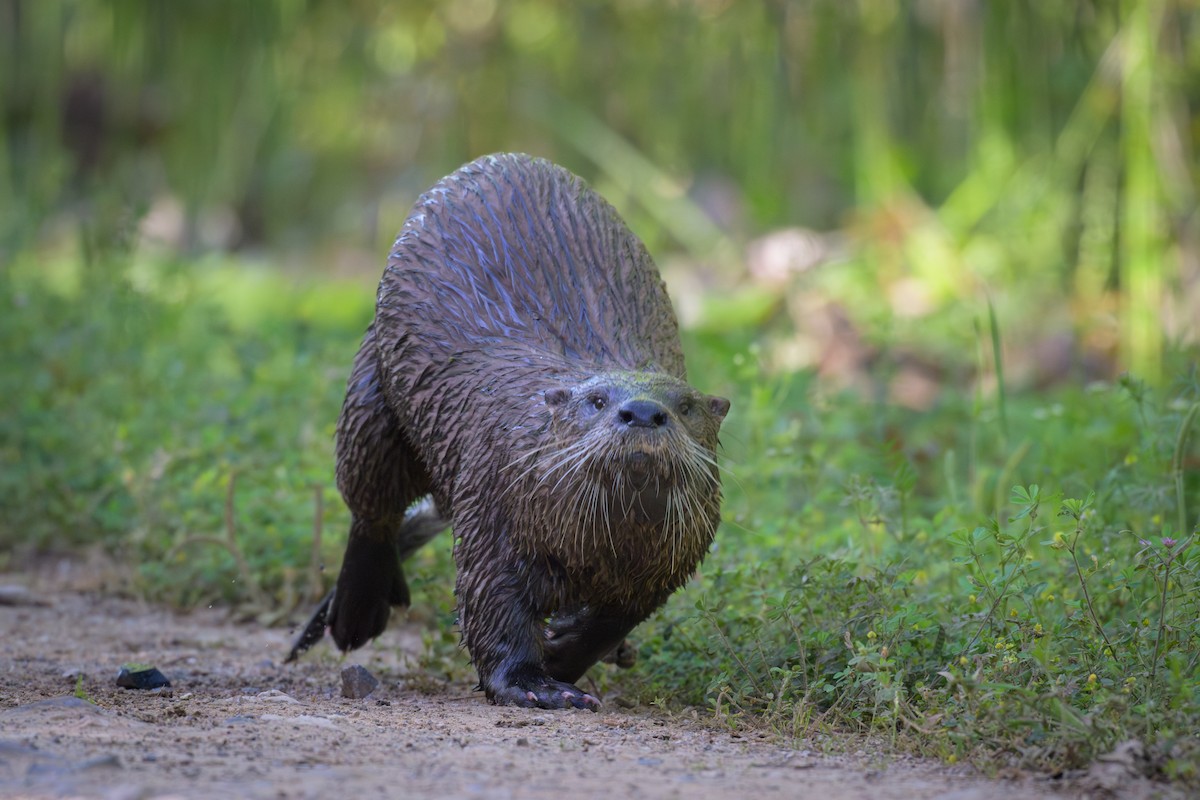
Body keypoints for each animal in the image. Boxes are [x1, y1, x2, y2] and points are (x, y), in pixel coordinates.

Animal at [288, 153, 729, 710]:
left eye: (686, 405)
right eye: (597, 400)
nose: (644, 411)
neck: (597, 550)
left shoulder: (671, 559)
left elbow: (615, 618)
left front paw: (564, 653)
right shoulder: (493, 508)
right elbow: (494, 602)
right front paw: (536, 684)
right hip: (371, 398)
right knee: (371, 508)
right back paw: (356, 612)